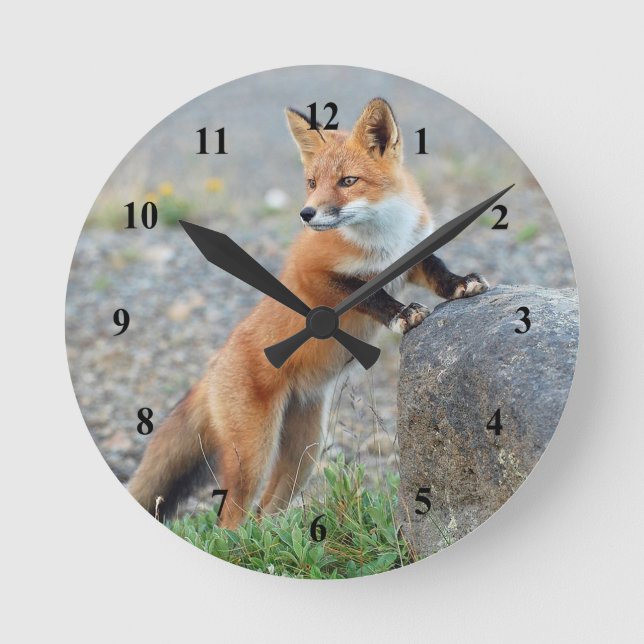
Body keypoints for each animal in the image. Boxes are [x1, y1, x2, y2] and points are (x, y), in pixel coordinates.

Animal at [128, 98, 489, 528]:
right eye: (313, 183)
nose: (306, 214)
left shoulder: (412, 255)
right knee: (231, 520)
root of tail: (213, 368)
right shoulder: (313, 275)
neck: (383, 239)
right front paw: (401, 313)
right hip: (253, 455)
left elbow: (436, 269)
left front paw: (460, 285)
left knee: (266, 512)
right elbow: (369, 294)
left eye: (348, 181)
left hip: (305, 450)